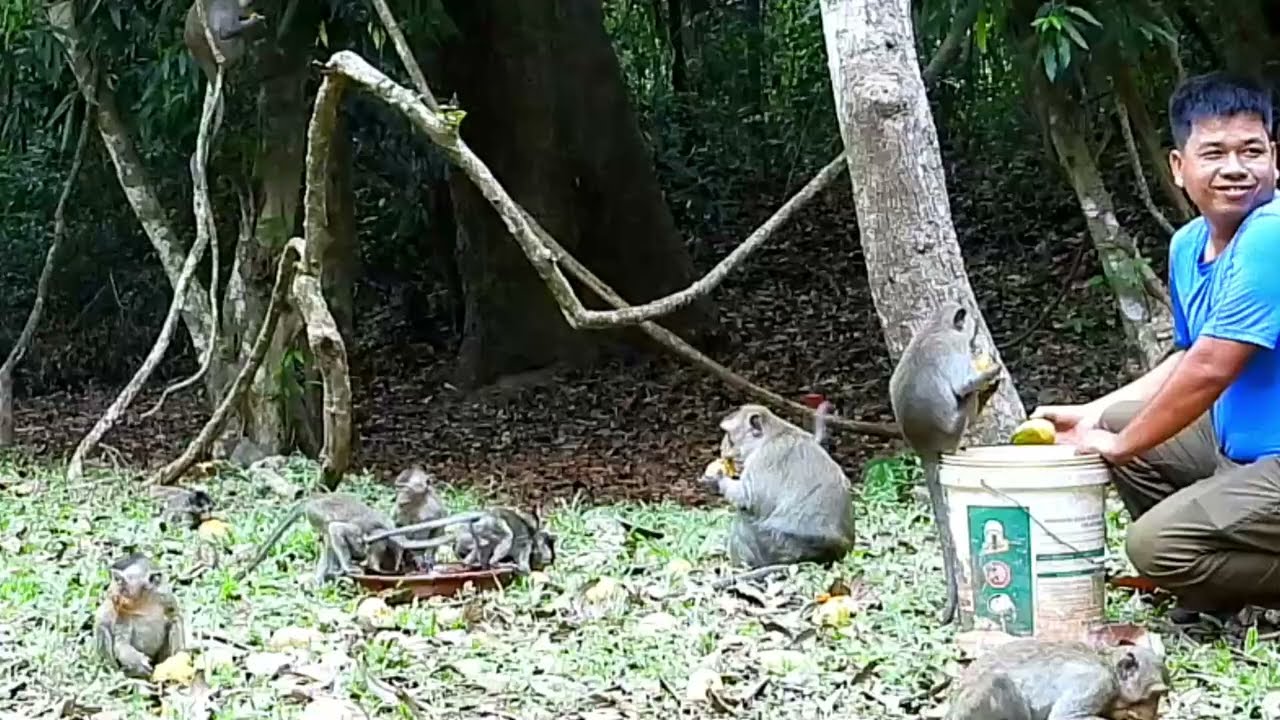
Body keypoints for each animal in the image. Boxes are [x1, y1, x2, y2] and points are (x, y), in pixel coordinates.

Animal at [234, 493, 412, 584]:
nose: (364, 558)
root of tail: (312, 500)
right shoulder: (359, 533)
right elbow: (337, 529)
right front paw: (348, 567)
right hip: (316, 513)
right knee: (329, 527)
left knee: (327, 539)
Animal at [708, 404, 855, 569]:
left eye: (728, 436)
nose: (721, 448)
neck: (773, 435)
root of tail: (835, 551)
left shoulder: (764, 459)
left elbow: (746, 498)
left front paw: (717, 478)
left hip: (780, 547)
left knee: (744, 518)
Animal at [888, 300, 1002, 625]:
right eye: (970, 323)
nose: (976, 326)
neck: (936, 326)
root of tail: (922, 446)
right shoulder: (955, 347)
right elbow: (963, 386)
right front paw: (992, 370)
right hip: (955, 427)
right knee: (966, 398)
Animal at [944, 639, 1169, 720]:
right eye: (1154, 695)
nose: (1153, 712)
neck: (1106, 664)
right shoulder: (1096, 683)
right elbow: (1065, 717)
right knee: (999, 682)